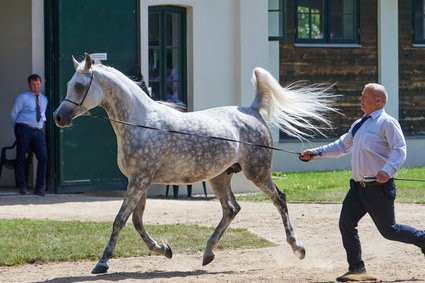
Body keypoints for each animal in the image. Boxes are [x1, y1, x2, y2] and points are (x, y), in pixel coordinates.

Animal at [53, 53, 336, 276]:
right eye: (69, 84)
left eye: (79, 86)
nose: (58, 117)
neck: (140, 123)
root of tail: (252, 111)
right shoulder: (140, 181)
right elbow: (137, 221)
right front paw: (164, 250)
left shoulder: (140, 180)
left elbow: (120, 220)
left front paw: (102, 262)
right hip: (219, 177)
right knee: (231, 209)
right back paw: (208, 252)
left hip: (258, 173)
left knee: (280, 199)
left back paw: (297, 248)